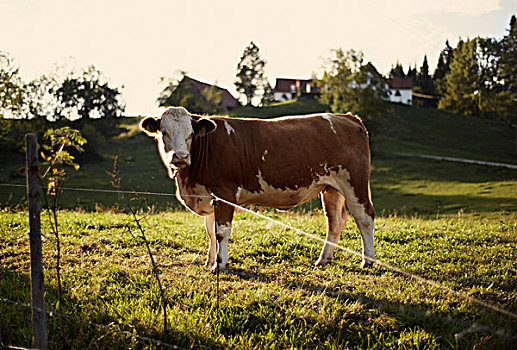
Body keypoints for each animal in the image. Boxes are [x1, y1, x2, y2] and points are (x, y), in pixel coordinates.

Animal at [139, 106, 374, 270]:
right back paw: (323, 259)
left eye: (190, 134)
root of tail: (347, 117)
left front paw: (220, 264)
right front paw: (209, 261)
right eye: (164, 133)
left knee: (364, 217)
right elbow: (210, 232)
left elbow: (221, 231)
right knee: (335, 221)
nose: (180, 157)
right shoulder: (207, 195)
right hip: (331, 187)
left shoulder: (224, 192)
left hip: (355, 182)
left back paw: (368, 260)